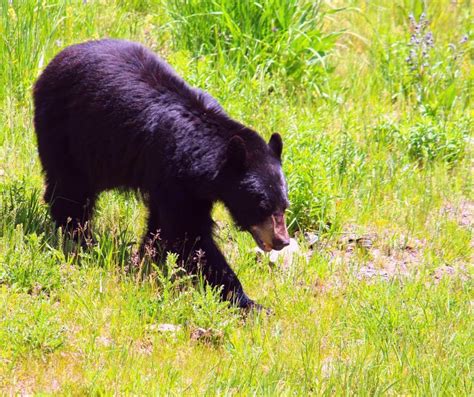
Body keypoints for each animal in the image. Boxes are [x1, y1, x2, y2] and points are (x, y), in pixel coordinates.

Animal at [33, 38, 288, 308]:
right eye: (262, 206)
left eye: (285, 206)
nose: (282, 241)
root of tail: (59, 56)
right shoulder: (171, 170)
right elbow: (189, 234)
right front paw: (246, 300)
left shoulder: (187, 186)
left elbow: (162, 226)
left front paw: (146, 259)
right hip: (67, 129)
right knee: (70, 188)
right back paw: (79, 237)